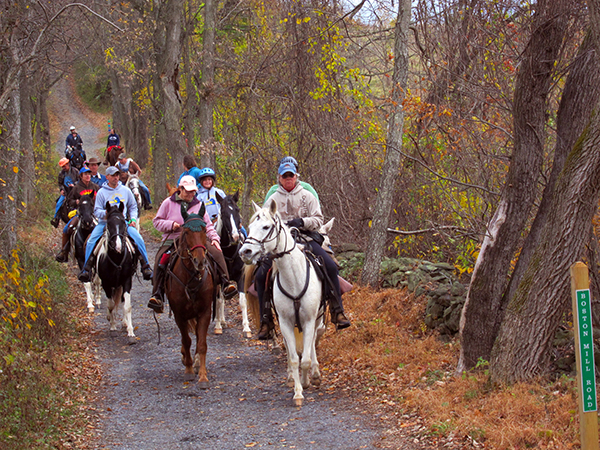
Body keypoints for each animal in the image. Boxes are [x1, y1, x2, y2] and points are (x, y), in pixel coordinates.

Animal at [164, 203, 216, 386]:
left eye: (204, 229)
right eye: (186, 232)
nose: (199, 261)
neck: (192, 278)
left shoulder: (204, 312)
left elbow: (201, 343)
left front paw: (203, 375)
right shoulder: (179, 314)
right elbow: (186, 340)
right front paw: (188, 370)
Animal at [238, 202, 324, 406]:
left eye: (266, 227)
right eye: (250, 226)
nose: (244, 252)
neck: (294, 279)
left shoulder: (309, 321)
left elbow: (305, 358)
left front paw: (306, 380)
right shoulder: (285, 322)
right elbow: (293, 358)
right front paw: (298, 391)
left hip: (317, 318)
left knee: (312, 343)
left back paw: (315, 372)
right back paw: (291, 377)